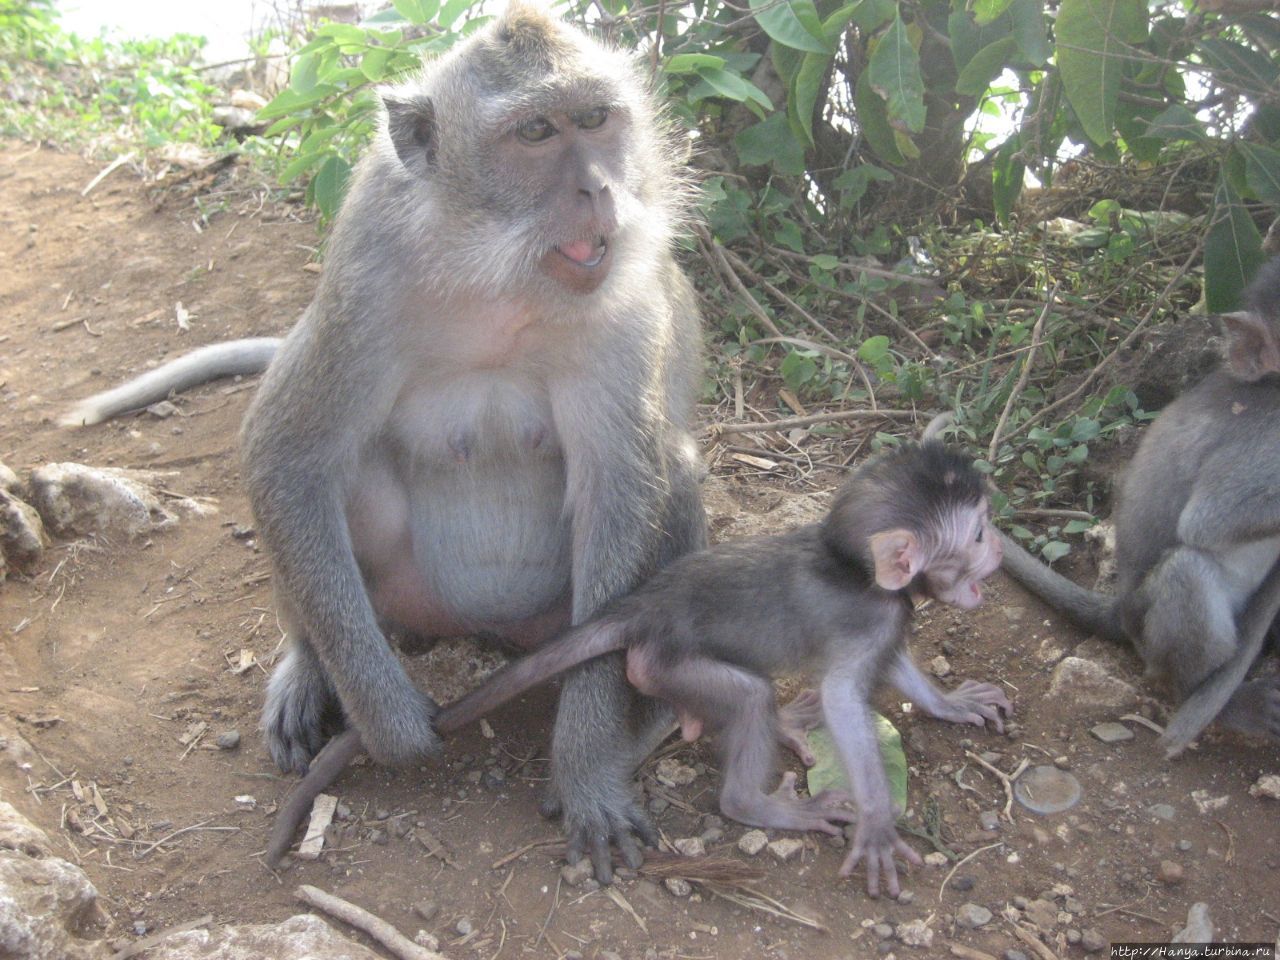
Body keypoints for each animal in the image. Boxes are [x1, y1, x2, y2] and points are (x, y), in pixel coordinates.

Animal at [445, 440, 1013, 901]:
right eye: (978, 533)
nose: (1001, 547)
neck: (857, 569)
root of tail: (649, 605)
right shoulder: (872, 620)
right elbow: (841, 698)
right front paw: (877, 826)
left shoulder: (887, 623)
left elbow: (895, 667)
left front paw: (951, 703)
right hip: (668, 665)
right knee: (747, 699)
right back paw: (758, 805)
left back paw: (784, 725)